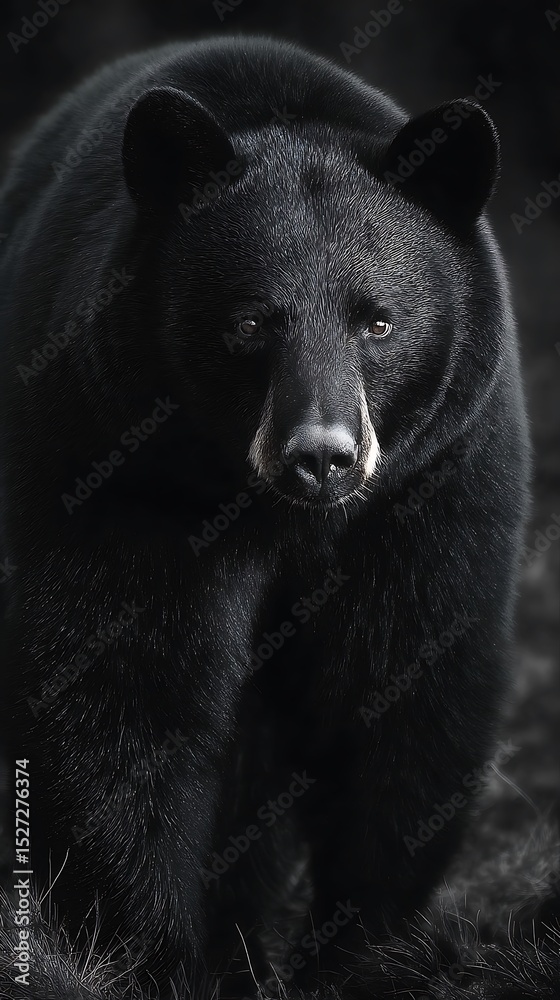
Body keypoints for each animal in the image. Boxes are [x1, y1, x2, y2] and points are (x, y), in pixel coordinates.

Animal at [0, 34, 529, 1000]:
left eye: (379, 322)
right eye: (251, 323)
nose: (321, 455)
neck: (286, 519)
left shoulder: (435, 485)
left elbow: (409, 688)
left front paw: (359, 957)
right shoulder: (125, 469)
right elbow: (125, 691)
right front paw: (158, 957)